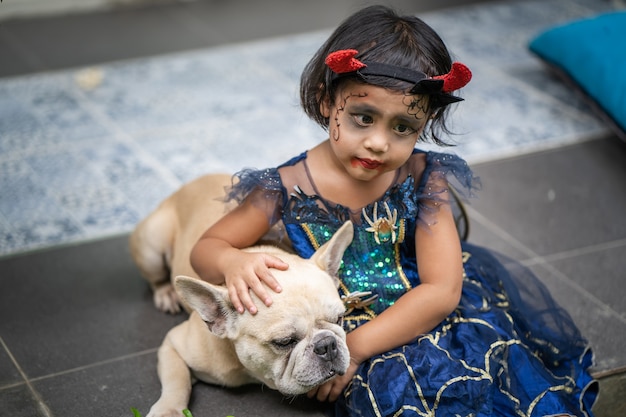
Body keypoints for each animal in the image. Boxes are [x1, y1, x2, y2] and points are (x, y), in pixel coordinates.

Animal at [128, 174, 352, 416]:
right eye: (284, 342)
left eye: (340, 319)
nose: (327, 345)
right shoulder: (173, 344)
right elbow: (176, 381)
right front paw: (167, 410)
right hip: (152, 246)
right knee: (156, 278)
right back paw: (166, 293)